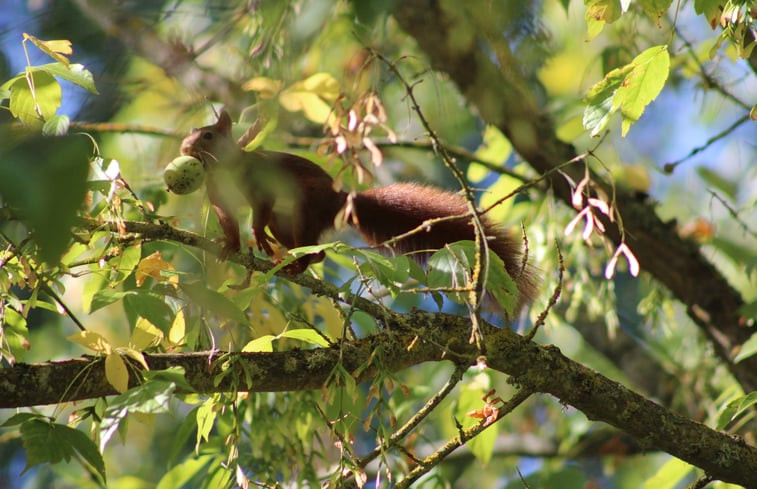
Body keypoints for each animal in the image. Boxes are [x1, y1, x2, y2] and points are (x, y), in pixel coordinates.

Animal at [180, 112, 536, 306]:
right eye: (191, 133)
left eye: (208, 135)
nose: (184, 147)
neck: (222, 169)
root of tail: (342, 201)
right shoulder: (218, 197)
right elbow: (227, 220)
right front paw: (230, 244)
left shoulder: (258, 183)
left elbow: (259, 208)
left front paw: (254, 233)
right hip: (286, 222)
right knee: (312, 249)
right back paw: (290, 261)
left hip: (306, 208)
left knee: (313, 247)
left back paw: (296, 263)